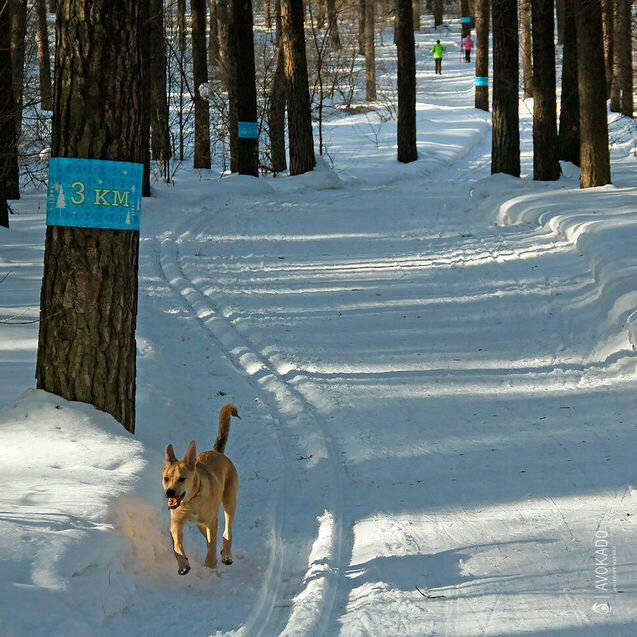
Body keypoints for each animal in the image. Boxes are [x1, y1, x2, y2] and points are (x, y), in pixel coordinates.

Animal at [161, 402, 241, 576]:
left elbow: (212, 544)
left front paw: (210, 565)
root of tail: (217, 452)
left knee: (227, 531)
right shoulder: (176, 522)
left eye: (182, 478)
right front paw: (183, 565)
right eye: (166, 478)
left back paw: (226, 555)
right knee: (211, 536)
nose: (169, 492)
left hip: (229, 501)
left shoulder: (211, 520)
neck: (191, 501)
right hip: (201, 524)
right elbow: (176, 544)